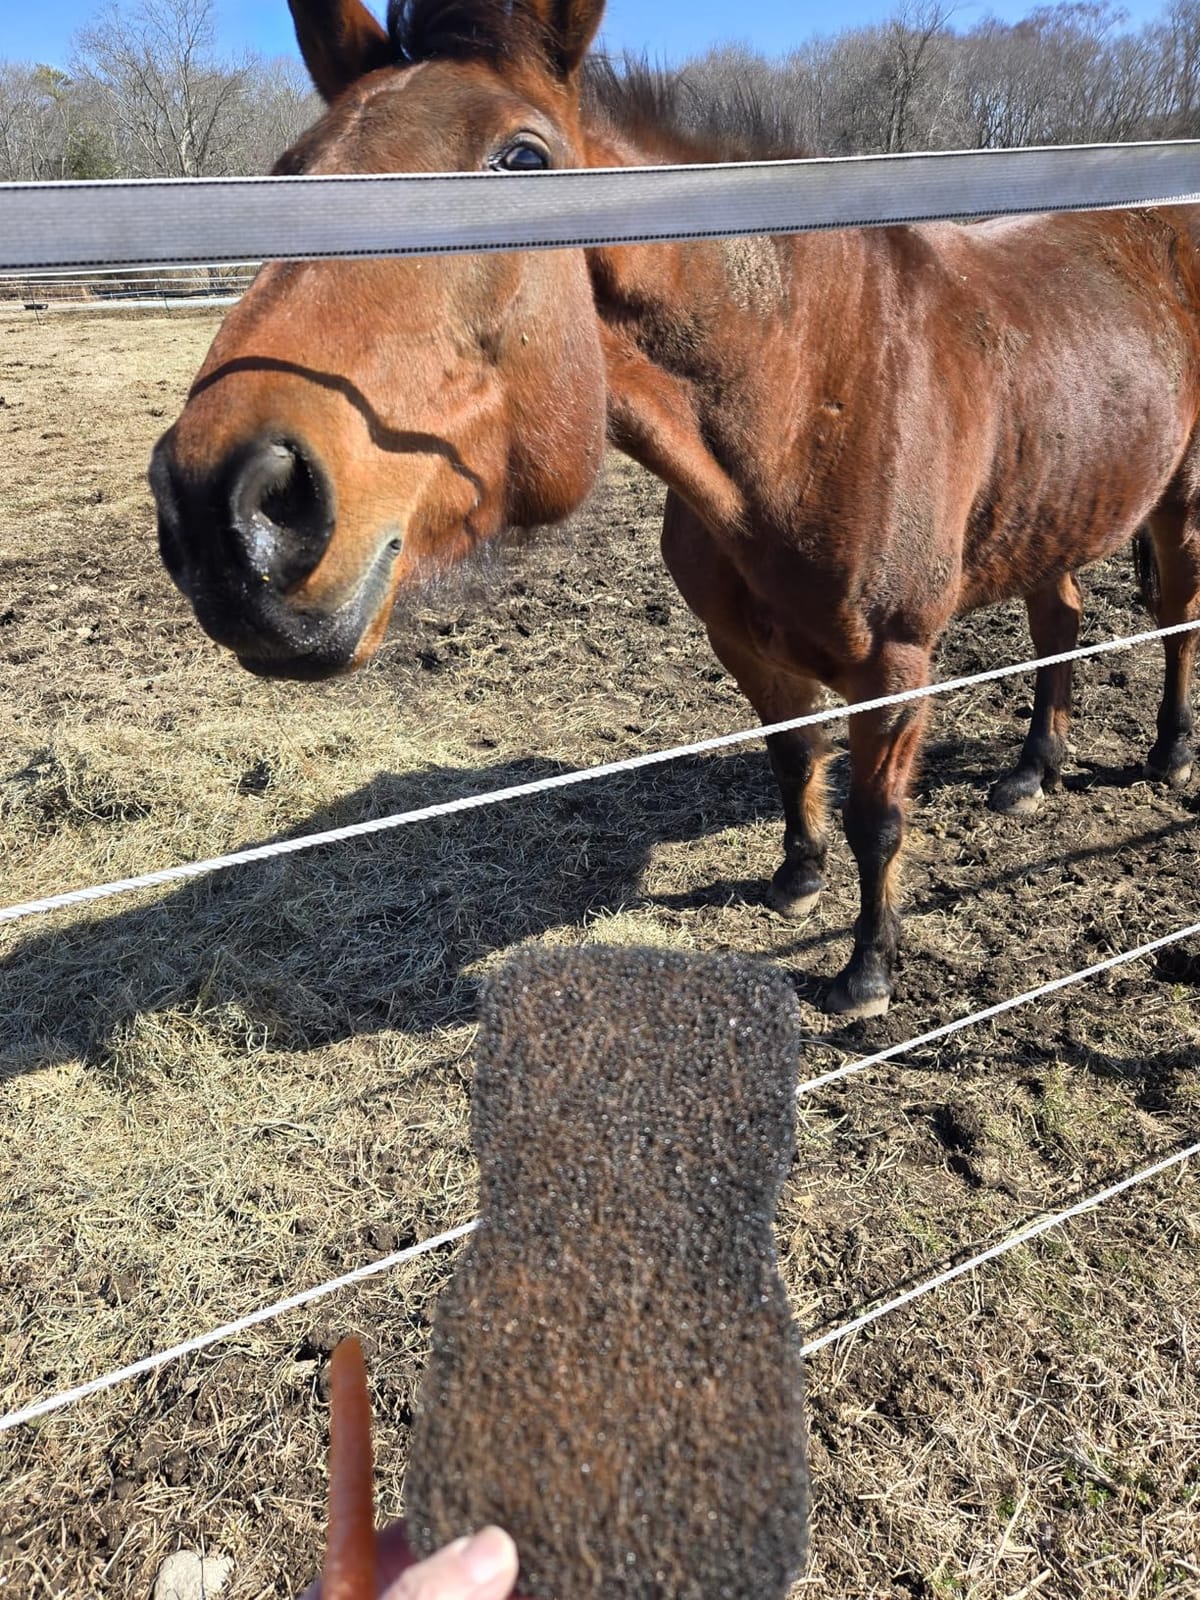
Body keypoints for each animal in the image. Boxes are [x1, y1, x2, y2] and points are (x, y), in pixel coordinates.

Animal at [150, 0, 1200, 1019]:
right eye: (292, 174)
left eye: (522, 161)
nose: (223, 503)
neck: (813, 389)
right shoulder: (746, 644)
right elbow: (792, 756)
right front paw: (796, 880)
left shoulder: (895, 664)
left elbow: (879, 819)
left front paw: (866, 971)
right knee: (1061, 621)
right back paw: (1032, 772)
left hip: (1178, 507)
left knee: (1175, 621)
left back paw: (1170, 753)